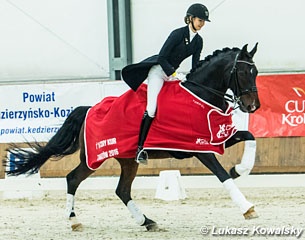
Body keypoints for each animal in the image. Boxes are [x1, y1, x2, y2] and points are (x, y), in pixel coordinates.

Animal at [2, 44, 258, 232]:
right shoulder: (200, 148)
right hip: (95, 157)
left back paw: (147, 221)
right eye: (242, 72)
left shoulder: (217, 139)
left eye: (255, 72)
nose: (253, 106)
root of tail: (89, 109)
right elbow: (223, 176)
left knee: (121, 190)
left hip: (126, 160)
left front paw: (240, 168)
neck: (201, 94)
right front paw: (247, 208)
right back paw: (74, 221)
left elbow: (250, 136)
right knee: (73, 179)